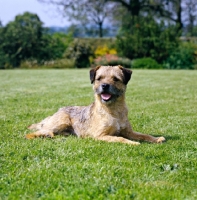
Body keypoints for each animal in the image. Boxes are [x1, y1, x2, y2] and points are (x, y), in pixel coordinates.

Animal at [25, 65, 165, 145]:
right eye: (99, 78)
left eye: (115, 79)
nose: (105, 85)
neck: (113, 110)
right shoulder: (100, 135)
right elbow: (119, 138)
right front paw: (132, 143)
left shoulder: (129, 131)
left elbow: (144, 135)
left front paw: (156, 139)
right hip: (61, 121)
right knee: (34, 133)